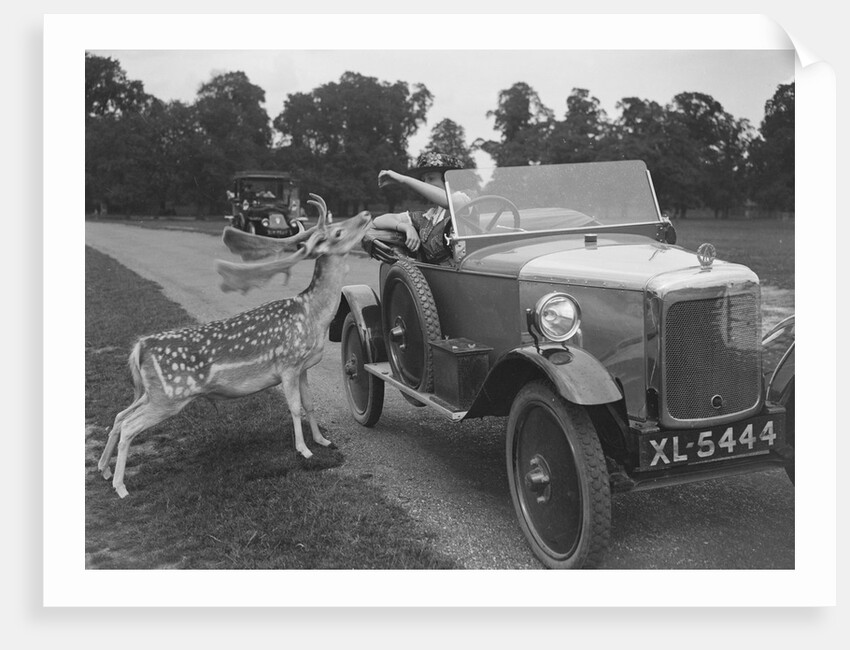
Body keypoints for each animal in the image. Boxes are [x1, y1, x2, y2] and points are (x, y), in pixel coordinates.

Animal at [97, 194, 373, 498]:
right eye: (338, 232)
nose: (366, 214)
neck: (313, 315)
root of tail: (139, 348)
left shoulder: (302, 367)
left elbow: (310, 404)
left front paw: (322, 441)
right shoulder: (287, 364)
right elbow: (294, 407)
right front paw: (303, 450)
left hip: (153, 392)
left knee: (120, 416)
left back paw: (104, 469)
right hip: (169, 396)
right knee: (129, 426)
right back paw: (120, 486)